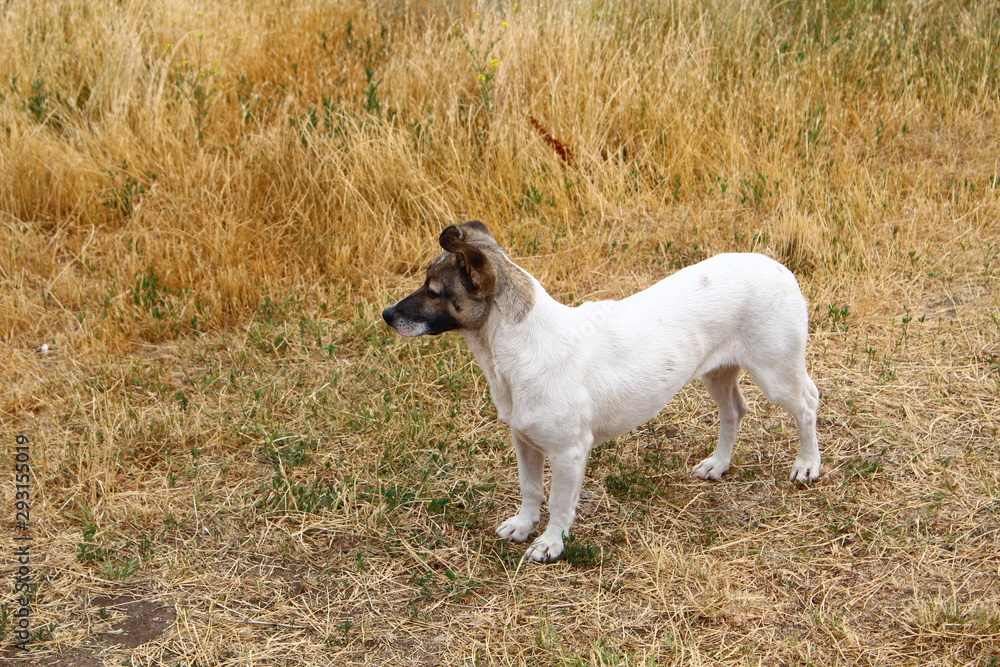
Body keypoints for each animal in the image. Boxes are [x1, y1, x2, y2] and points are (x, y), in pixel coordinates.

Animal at [382, 222, 820, 560]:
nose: (386, 314)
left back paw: (807, 464)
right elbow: (530, 489)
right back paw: (719, 464)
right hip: (717, 372)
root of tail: (778, 267)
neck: (519, 348)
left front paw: (550, 544)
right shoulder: (524, 440)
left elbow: (558, 503)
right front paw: (524, 526)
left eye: (434, 291)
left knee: (806, 406)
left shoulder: (569, 453)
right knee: (734, 411)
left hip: (775, 373)